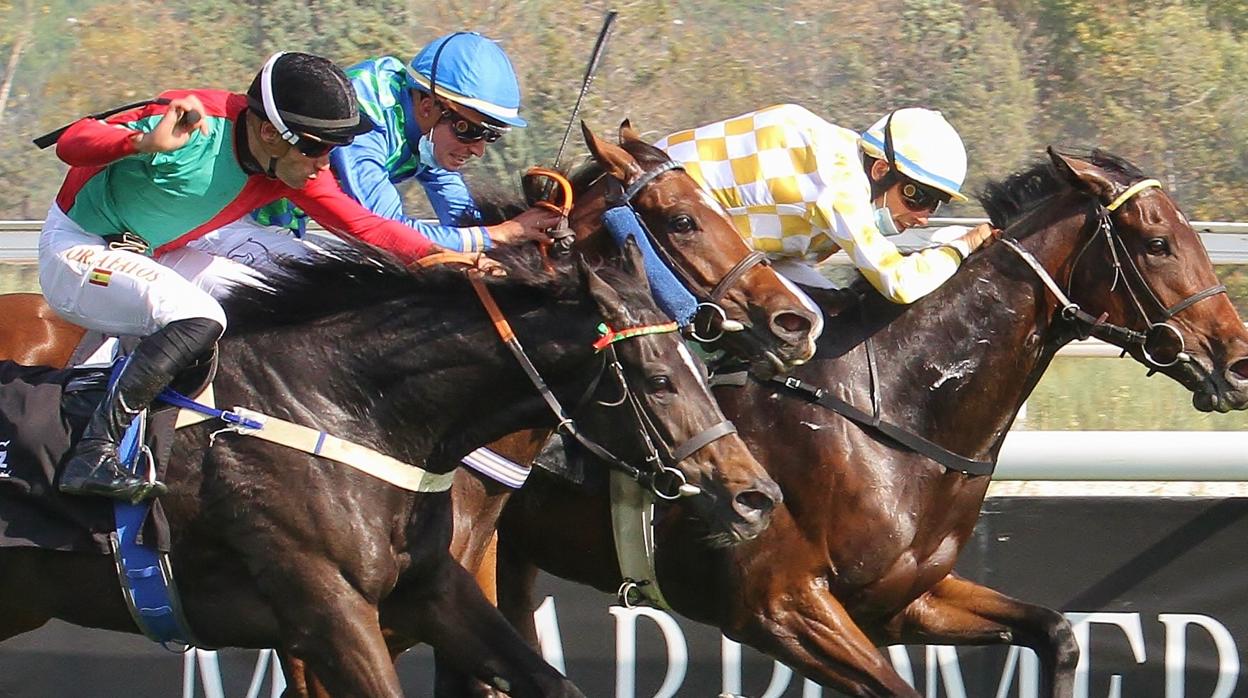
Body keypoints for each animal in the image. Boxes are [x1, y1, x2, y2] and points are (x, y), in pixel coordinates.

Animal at [0, 243, 778, 694]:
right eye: (658, 380)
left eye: (698, 365)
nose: (757, 497)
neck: (340, 411)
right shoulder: (329, 611)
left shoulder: (430, 586)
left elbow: (551, 683)